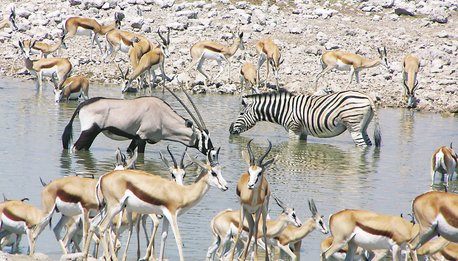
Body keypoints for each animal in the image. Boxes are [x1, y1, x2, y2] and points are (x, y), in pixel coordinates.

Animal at [229, 89, 382, 146]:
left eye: (241, 114)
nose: (230, 130)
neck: (284, 109)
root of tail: (366, 96)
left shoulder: (294, 129)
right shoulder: (303, 132)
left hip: (354, 126)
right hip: (363, 127)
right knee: (368, 144)